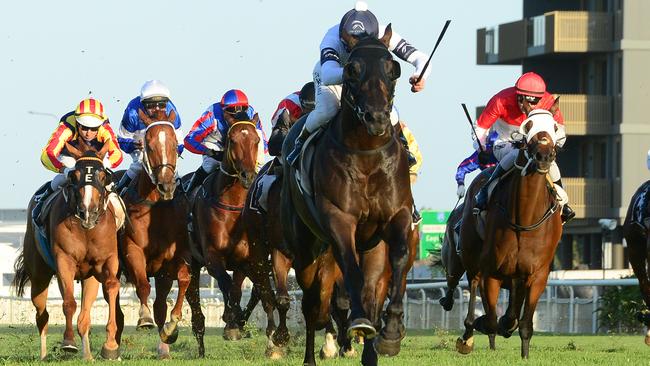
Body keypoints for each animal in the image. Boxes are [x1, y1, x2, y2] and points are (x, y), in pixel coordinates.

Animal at [12, 144, 121, 360]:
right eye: (75, 175)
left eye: (102, 176)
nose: (88, 211)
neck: (87, 228)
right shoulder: (65, 260)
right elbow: (69, 303)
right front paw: (68, 343)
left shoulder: (106, 260)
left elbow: (112, 286)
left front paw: (111, 346)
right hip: (39, 276)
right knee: (42, 315)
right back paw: (43, 355)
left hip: (88, 278)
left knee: (84, 317)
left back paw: (88, 356)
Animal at [189, 112, 278, 352]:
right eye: (233, 140)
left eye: (256, 141)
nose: (248, 175)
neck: (233, 205)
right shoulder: (212, 257)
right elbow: (227, 286)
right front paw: (232, 321)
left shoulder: (244, 259)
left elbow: (237, 289)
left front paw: (234, 324)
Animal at [280, 25, 412, 366]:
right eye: (352, 70)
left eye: (393, 69)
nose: (377, 118)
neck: (366, 154)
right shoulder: (340, 220)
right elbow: (350, 269)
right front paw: (360, 323)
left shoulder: (396, 216)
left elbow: (398, 258)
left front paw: (391, 333)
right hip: (306, 247)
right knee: (312, 303)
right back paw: (313, 355)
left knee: (370, 287)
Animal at [456, 111, 560, 358]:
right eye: (527, 126)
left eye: (554, 127)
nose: (544, 155)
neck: (525, 219)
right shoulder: (492, 272)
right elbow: (492, 319)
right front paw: (483, 325)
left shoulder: (537, 274)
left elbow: (523, 323)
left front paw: (524, 354)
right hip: (473, 257)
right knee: (473, 283)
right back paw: (469, 333)